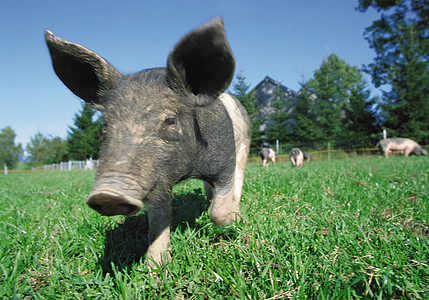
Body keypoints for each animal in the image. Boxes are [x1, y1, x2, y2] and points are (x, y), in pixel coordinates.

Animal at [43, 18, 251, 268]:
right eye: (105, 124)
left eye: (170, 120)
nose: (107, 195)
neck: (187, 171)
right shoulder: (157, 179)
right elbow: (159, 218)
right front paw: (155, 266)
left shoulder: (224, 162)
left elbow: (219, 209)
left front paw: (229, 225)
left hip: (244, 145)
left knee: (239, 178)